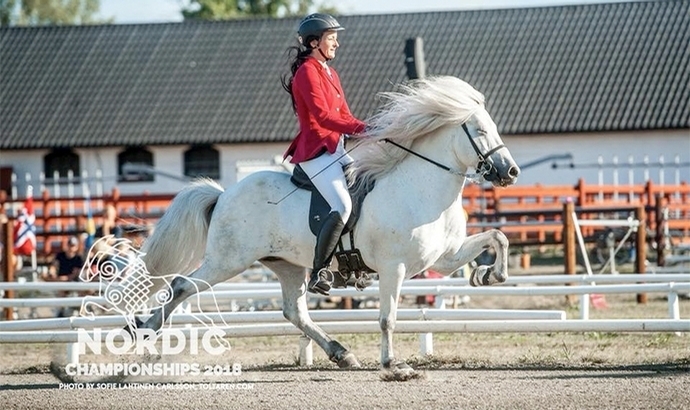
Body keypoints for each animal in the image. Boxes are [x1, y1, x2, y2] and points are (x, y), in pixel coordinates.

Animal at [137, 75, 520, 376]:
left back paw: (341, 353)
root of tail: (223, 194)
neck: (420, 187)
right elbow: (387, 318)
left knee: (294, 311)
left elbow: (497, 237)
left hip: (287, 265)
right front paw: (393, 365)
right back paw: (146, 330)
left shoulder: (444, 257)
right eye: (481, 131)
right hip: (228, 260)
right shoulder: (393, 267)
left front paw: (488, 275)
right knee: (183, 284)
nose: (511, 172)